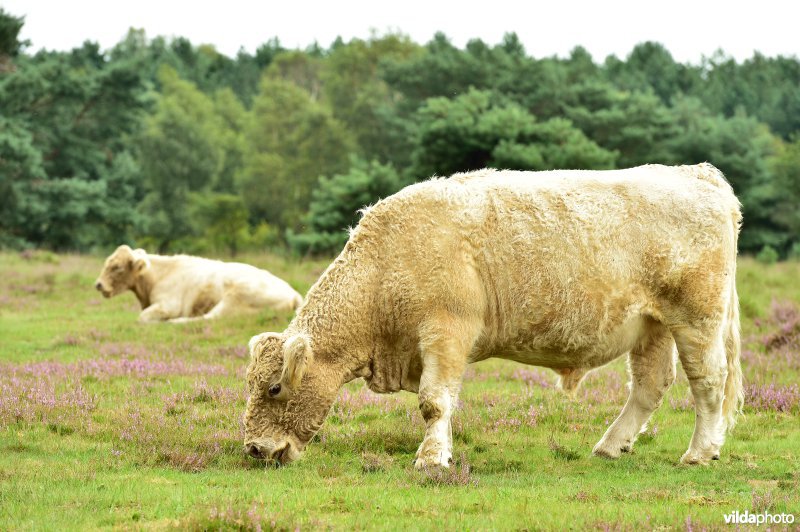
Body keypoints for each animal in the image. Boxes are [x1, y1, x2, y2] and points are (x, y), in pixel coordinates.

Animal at [93, 246, 304, 324]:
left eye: (117, 267)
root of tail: (294, 294)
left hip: (236, 298)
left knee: (207, 318)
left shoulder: (168, 305)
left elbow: (143, 317)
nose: (99, 285)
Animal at [239, 164, 744, 468]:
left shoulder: (446, 331)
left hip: (696, 319)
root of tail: (696, 173)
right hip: (652, 327)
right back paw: (610, 446)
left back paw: (700, 452)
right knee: (650, 386)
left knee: (709, 383)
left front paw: (431, 460)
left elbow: (434, 401)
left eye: (275, 388)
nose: (256, 449)